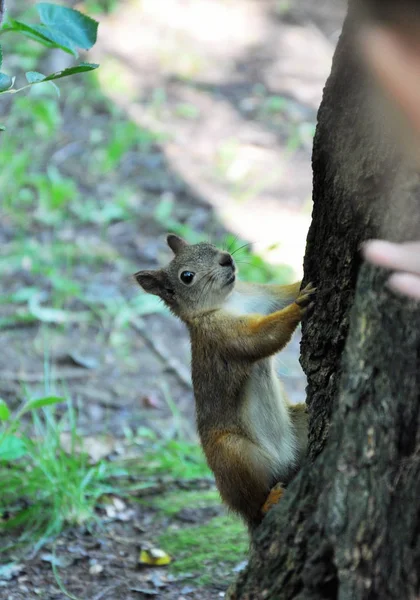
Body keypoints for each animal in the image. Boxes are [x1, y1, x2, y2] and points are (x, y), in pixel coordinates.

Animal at [135, 234, 316, 528]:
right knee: (251, 505)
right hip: (232, 454)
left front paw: (299, 284)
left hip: (299, 424)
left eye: (207, 245)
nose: (226, 258)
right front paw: (298, 306)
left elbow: (282, 294)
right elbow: (261, 337)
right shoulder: (221, 335)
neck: (230, 301)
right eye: (187, 276)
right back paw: (268, 502)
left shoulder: (260, 297)